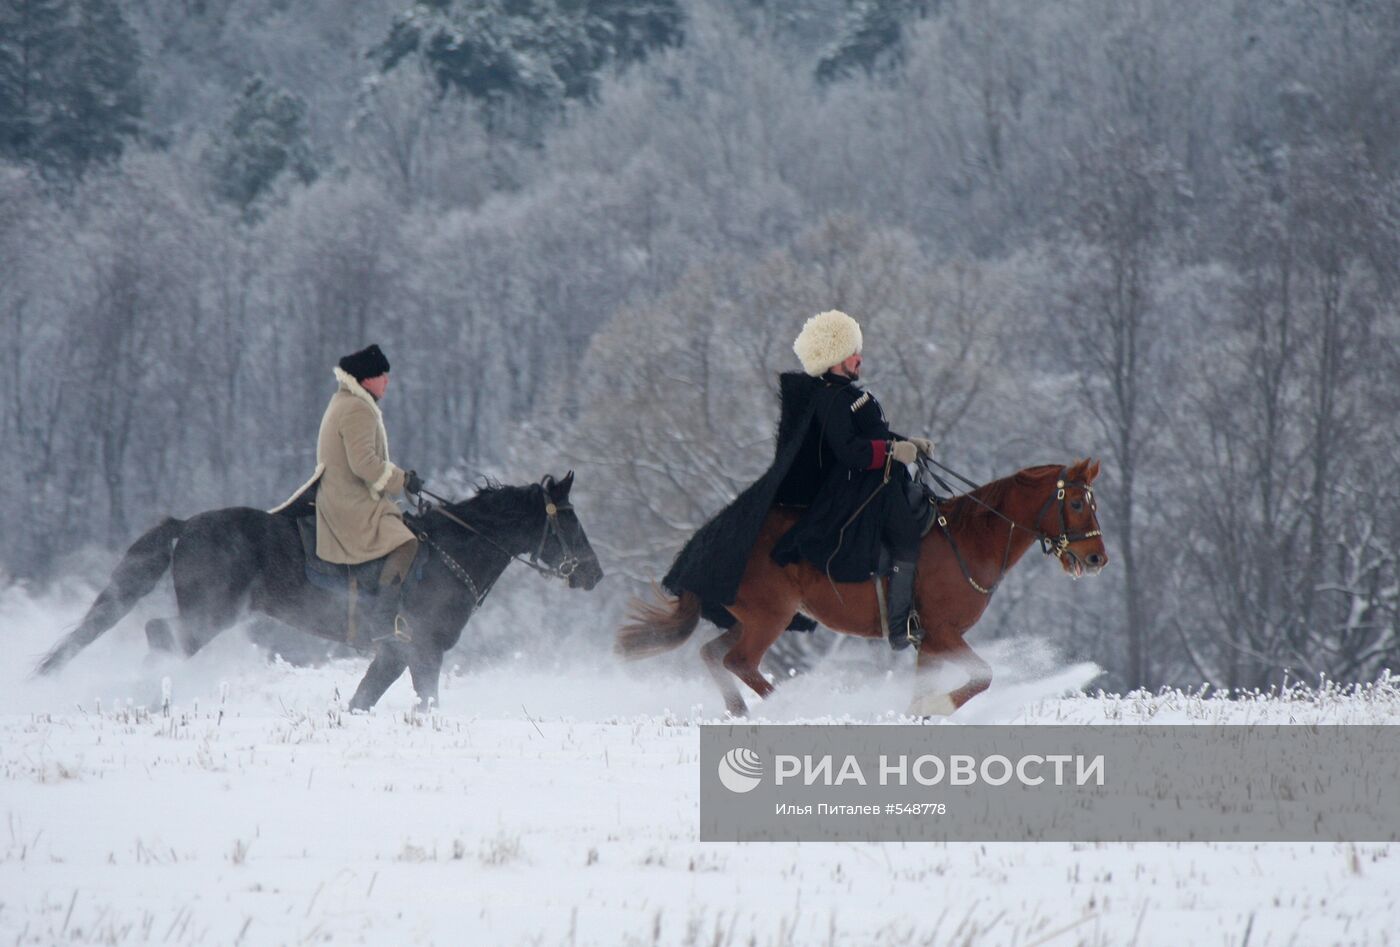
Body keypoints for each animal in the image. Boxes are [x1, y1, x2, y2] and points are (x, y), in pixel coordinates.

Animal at [34, 473, 602, 711]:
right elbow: (427, 699)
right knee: (160, 634)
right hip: (209, 615)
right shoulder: (423, 648)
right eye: (570, 519)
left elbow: (365, 698)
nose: (594, 574)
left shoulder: (395, 652)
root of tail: (188, 526)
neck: (454, 549)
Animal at [618, 459, 1108, 717]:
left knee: (712, 654)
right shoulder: (943, 632)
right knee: (739, 662)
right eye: (1076, 502)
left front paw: (919, 712)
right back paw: (794, 709)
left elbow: (926, 687)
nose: (1097, 559)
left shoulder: (929, 641)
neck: (967, 540)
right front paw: (938, 706)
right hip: (769, 618)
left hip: (751, 619)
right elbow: (983, 675)